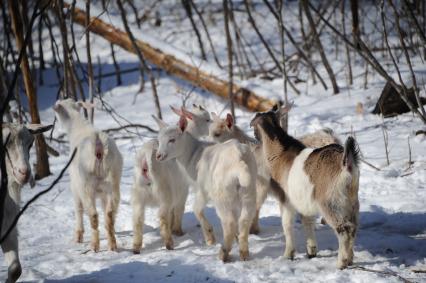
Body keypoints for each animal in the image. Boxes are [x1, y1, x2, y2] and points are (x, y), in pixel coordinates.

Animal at [54, 100, 122, 253]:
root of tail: (98, 143)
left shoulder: (75, 187)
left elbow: (78, 209)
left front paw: (78, 236)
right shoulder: (103, 192)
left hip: (86, 185)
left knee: (93, 215)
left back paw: (94, 246)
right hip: (113, 182)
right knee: (110, 213)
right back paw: (112, 245)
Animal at [156, 115, 256, 264]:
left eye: (172, 139)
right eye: (158, 140)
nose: (158, 156)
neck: (193, 156)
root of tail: (239, 161)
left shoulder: (203, 189)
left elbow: (196, 209)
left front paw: (210, 239)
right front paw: (236, 239)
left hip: (222, 194)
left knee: (229, 222)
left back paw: (223, 253)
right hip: (248, 190)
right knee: (244, 220)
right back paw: (244, 253)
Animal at [251, 110, 362, 270]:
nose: (254, 138)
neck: (281, 153)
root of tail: (347, 165)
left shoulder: (286, 201)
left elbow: (286, 224)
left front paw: (288, 254)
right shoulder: (304, 201)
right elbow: (307, 222)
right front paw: (311, 251)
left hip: (331, 204)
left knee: (344, 230)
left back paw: (341, 262)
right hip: (352, 204)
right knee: (353, 228)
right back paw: (350, 259)